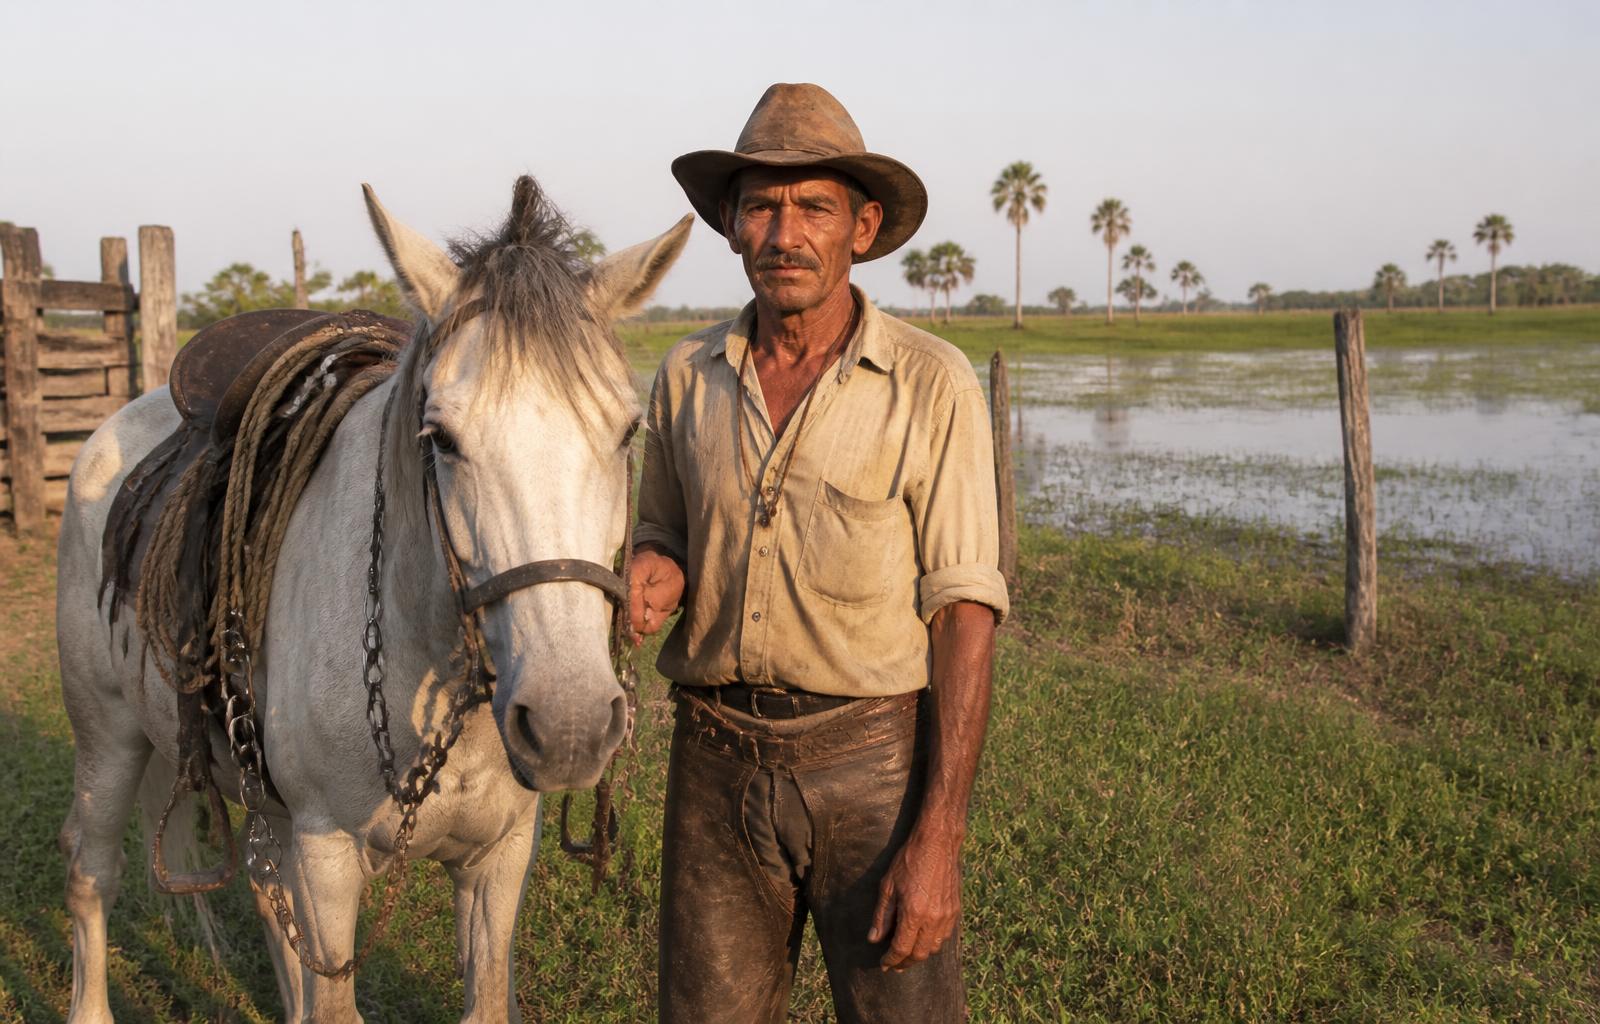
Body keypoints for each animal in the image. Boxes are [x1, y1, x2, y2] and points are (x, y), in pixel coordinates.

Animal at [53, 176, 691, 1023]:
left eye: (628, 431)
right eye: (441, 438)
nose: (570, 727)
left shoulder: (498, 859)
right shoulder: (326, 857)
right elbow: (332, 998)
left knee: (263, 897)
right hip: (108, 741)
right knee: (92, 873)